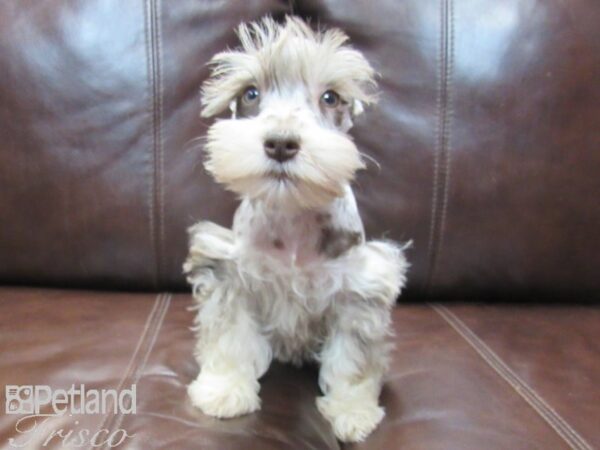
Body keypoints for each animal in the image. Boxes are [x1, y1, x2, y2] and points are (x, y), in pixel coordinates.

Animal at [183, 15, 408, 442]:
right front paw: (225, 390)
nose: (281, 143)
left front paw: (352, 409)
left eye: (331, 97)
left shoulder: (360, 291)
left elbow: (352, 358)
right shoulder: (230, 275)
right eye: (250, 93)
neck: (291, 216)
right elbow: (229, 337)